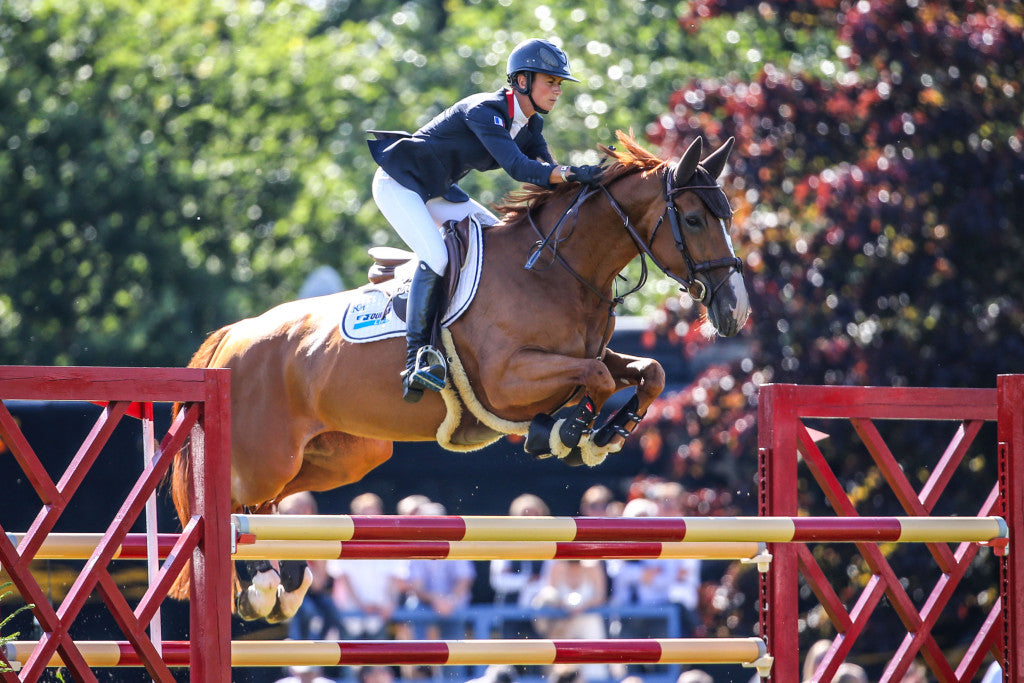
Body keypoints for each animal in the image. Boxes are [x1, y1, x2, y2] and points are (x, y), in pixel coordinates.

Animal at [169, 131, 753, 622]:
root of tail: (234, 338)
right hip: (267, 456)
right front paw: (567, 433)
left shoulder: (588, 354)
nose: (735, 311)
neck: (556, 270)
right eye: (694, 220)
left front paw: (604, 433)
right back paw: (262, 585)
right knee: (235, 504)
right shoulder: (507, 379)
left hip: (345, 454)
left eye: (726, 216)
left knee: (266, 505)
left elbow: (646, 372)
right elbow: (597, 379)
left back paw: (282, 582)